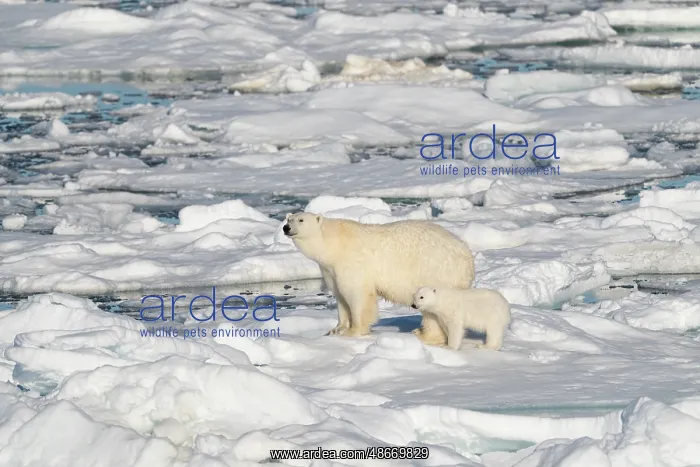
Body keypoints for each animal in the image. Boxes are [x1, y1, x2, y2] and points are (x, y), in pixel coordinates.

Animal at [282, 211, 475, 341]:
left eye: (301, 220)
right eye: (288, 219)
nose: (286, 228)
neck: (335, 243)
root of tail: (467, 257)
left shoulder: (352, 263)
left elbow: (356, 295)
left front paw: (354, 331)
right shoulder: (331, 270)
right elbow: (340, 296)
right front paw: (336, 330)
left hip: (437, 271)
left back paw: (424, 334)